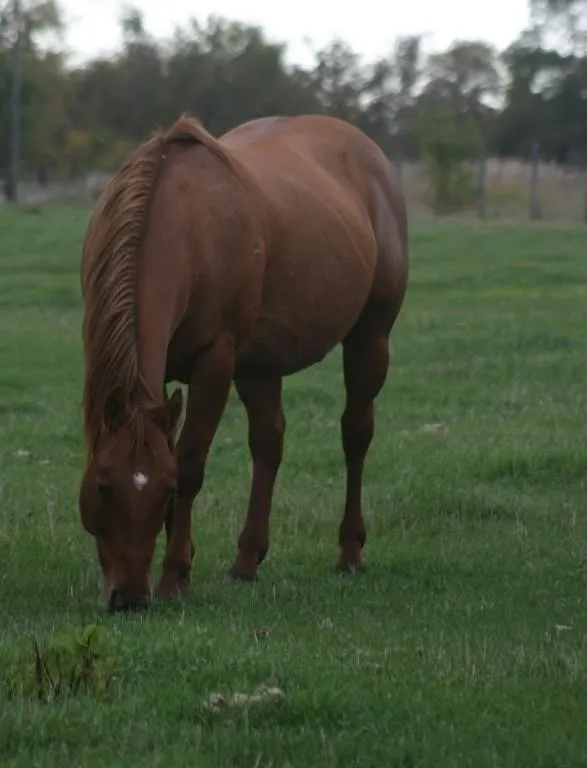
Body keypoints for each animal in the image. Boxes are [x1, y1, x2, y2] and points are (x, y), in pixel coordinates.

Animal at [78, 113, 409, 612]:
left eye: (165, 489)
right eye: (102, 484)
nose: (131, 597)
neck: (180, 223)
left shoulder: (215, 361)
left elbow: (191, 463)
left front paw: (174, 574)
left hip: (370, 338)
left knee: (356, 434)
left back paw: (350, 552)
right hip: (259, 364)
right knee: (268, 443)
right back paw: (247, 560)